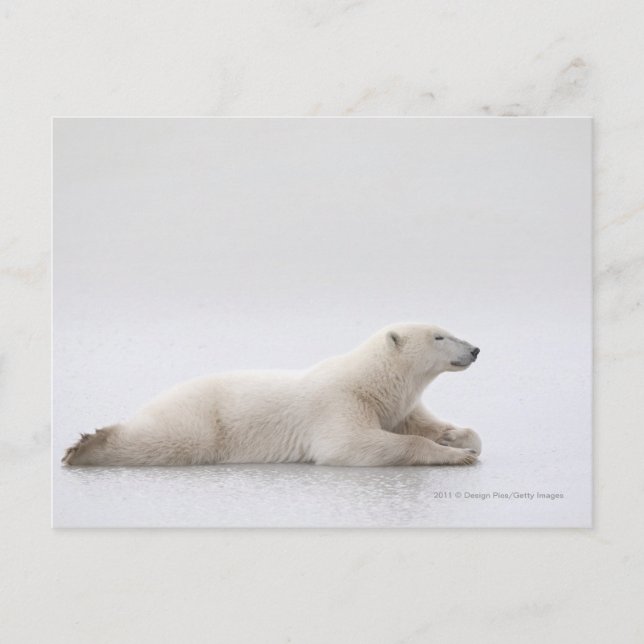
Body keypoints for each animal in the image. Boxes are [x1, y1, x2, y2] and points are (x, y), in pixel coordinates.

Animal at [62, 323, 482, 467]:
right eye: (439, 336)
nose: (475, 349)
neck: (374, 382)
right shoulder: (339, 402)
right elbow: (349, 444)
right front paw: (456, 456)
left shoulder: (397, 406)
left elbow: (425, 424)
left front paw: (457, 438)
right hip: (201, 419)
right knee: (169, 441)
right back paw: (87, 446)